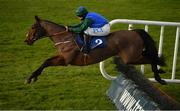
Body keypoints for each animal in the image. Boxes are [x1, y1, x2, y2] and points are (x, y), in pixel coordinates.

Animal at [24, 15, 167, 84]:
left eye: (33, 27)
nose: (26, 40)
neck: (64, 37)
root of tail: (134, 32)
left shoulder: (65, 61)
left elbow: (47, 62)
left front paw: (31, 77)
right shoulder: (61, 56)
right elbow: (45, 62)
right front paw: (32, 77)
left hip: (131, 57)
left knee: (152, 59)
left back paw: (159, 75)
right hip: (133, 56)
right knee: (151, 57)